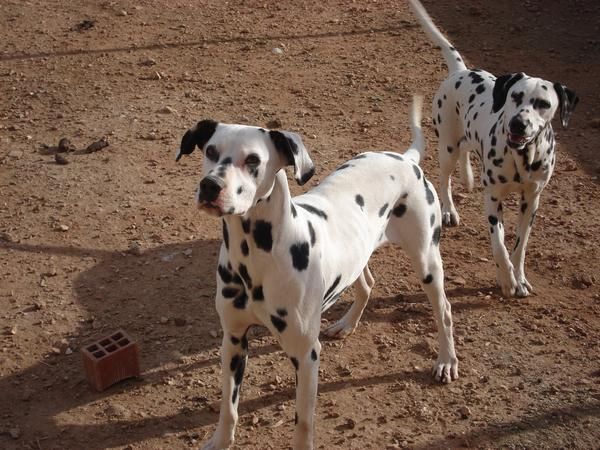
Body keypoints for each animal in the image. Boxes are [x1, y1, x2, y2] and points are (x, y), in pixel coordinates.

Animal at [176, 97, 458, 450]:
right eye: (211, 151)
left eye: (253, 160)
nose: (210, 186)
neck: (255, 256)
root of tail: (405, 159)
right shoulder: (233, 340)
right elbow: (229, 406)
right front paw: (220, 441)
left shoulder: (306, 355)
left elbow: (303, 424)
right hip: (358, 255)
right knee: (367, 283)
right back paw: (347, 324)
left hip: (426, 262)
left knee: (444, 310)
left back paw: (446, 361)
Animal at [408, 0, 576, 298]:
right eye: (515, 96)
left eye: (544, 103)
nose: (519, 123)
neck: (522, 158)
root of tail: (461, 71)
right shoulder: (494, 199)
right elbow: (499, 245)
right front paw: (507, 280)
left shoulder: (531, 201)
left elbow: (519, 247)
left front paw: (519, 278)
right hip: (447, 146)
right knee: (445, 178)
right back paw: (449, 209)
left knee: (466, 152)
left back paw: (468, 176)